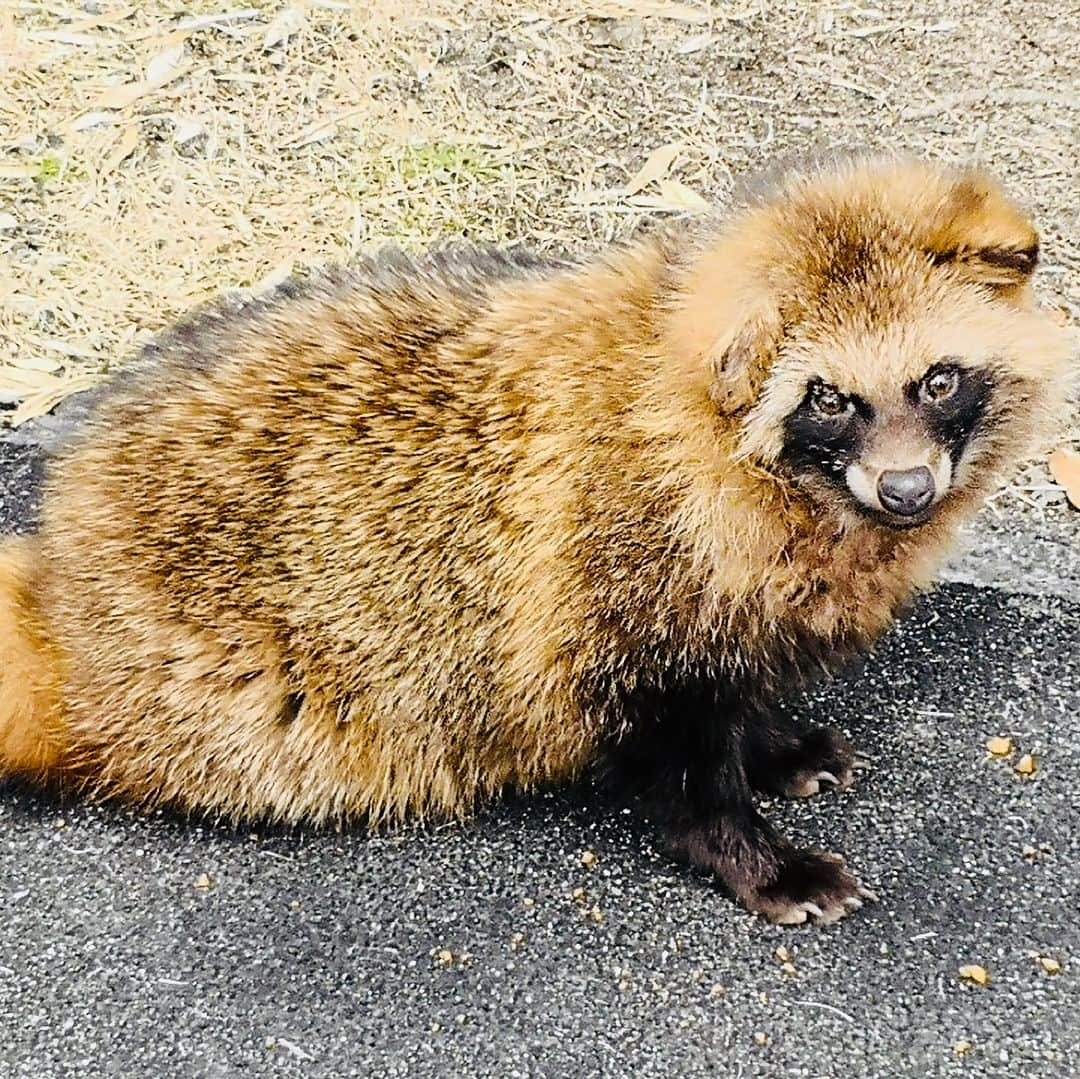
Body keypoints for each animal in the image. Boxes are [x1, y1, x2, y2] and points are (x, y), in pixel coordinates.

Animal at [0, 156, 1067, 924]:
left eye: (938, 380)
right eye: (831, 400)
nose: (906, 489)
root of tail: (58, 587)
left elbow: (741, 681)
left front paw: (770, 740)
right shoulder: (616, 579)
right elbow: (678, 755)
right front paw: (750, 851)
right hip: (245, 698)